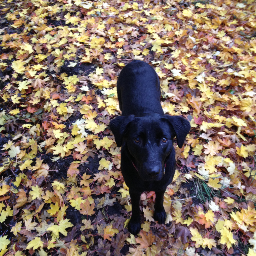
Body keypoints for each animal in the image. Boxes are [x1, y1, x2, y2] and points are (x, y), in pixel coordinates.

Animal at [109, 59, 190, 234]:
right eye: (137, 140)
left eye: (164, 140)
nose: (152, 172)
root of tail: (136, 61)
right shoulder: (133, 188)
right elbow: (134, 206)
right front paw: (134, 222)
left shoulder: (162, 184)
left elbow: (159, 198)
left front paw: (159, 212)